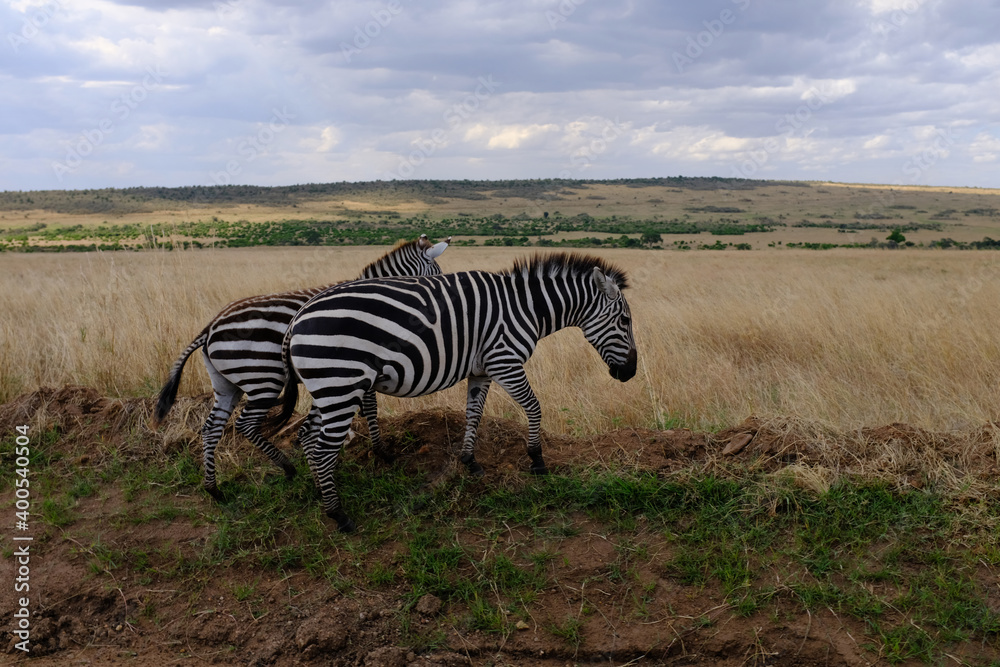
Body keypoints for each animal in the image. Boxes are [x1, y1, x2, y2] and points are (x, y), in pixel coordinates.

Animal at [152, 235, 450, 500]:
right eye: (436, 274)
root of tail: (210, 328)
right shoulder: (362, 362)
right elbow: (371, 407)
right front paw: (380, 451)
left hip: (226, 384)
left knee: (211, 428)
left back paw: (214, 489)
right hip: (263, 379)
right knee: (245, 424)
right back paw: (287, 467)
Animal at [269, 253, 638, 532]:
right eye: (625, 320)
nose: (631, 373)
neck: (526, 308)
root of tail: (298, 317)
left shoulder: (482, 370)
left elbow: (474, 413)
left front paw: (470, 462)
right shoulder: (505, 361)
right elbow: (534, 407)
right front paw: (536, 459)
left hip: (329, 387)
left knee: (306, 435)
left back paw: (321, 492)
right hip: (341, 384)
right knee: (322, 448)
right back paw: (339, 515)